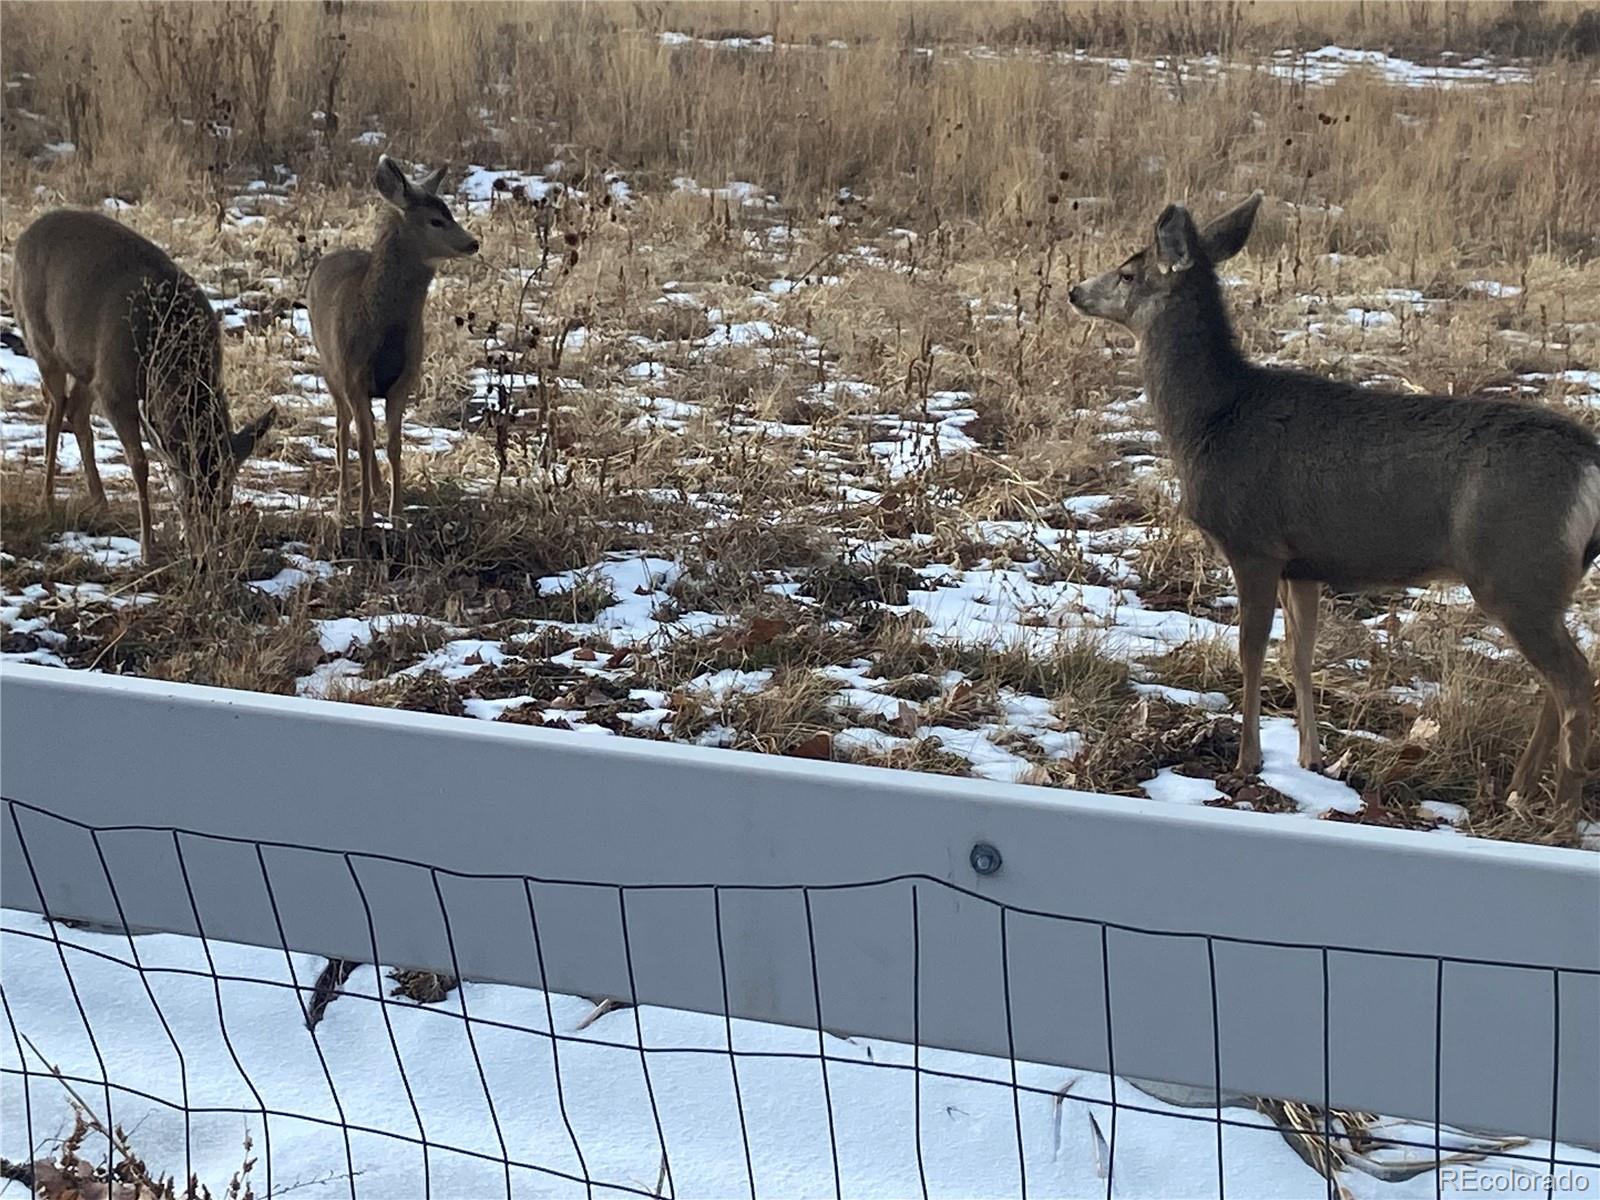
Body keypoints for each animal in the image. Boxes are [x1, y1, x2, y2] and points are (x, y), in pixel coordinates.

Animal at [11, 209, 281, 556]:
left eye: (225, 500)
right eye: (184, 501)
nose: (204, 556)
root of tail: (25, 235)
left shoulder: (108, 380)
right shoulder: (115, 388)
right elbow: (139, 463)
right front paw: (147, 550)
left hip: (86, 362)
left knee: (76, 410)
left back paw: (101, 504)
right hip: (41, 340)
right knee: (55, 409)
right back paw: (47, 502)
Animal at [305, 153, 476, 524]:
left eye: (450, 212)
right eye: (436, 220)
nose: (473, 242)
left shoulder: (405, 379)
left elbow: (393, 444)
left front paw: (396, 514)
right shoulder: (352, 374)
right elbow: (363, 442)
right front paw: (365, 515)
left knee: (362, 428)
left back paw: (378, 489)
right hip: (329, 367)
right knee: (343, 430)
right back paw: (344, 502)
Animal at [1062, 197, 1600, 832]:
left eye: (1128, 271)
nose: (1074, 290)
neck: (1212, 419)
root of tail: (1590, 463)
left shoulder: (1253, 542)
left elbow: (1251, 648)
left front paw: (1249, 759)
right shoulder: (1304, 563)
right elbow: (1300, 652)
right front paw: (1310, 758)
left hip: (1514, 565)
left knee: (1575, 680)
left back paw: (1561, 815)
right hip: (1543, 579)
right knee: (1559, 679)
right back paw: (1518, 791)